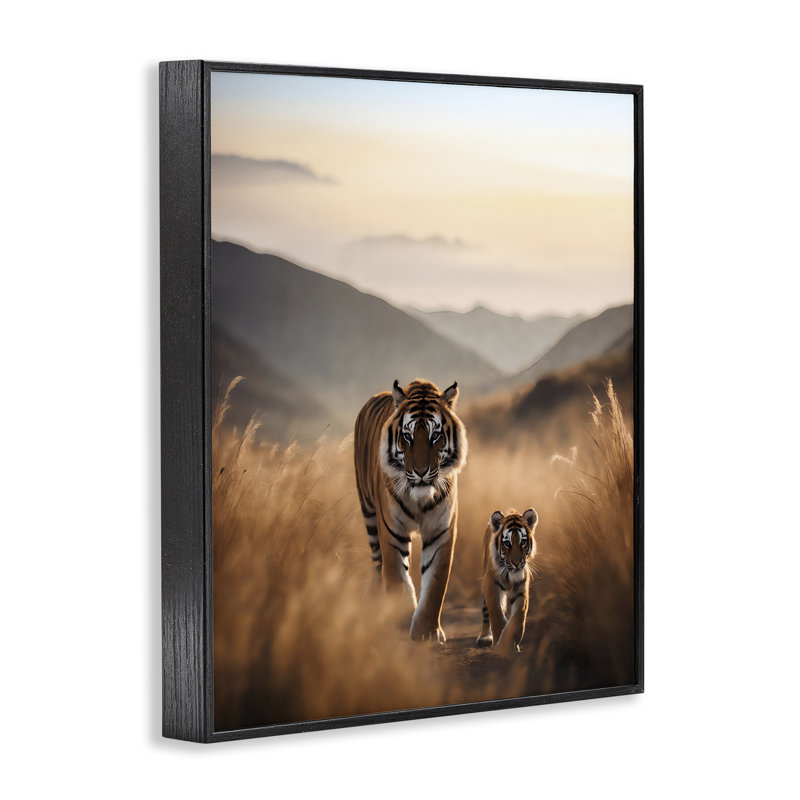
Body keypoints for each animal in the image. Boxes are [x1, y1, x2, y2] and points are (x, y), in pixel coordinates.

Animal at [354, 378, 467, 642]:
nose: (421, 471)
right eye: (407, 437)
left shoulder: (441, 532)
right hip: (369, 513)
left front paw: (426, 631)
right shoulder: (392, 531)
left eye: (435, 436)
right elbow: (397, 578)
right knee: (377, 563)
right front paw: (401, 620)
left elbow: (435, 584)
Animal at [476, 508, 539, 653]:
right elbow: (497, 615)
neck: (510, 575)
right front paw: (500, 645)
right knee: (486, 613)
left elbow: (517, 619)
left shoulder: (521, 590)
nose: (516, 563)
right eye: (507, 543)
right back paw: (484, 637)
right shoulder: (491, 586)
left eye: (523, 542)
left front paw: (509, 644)